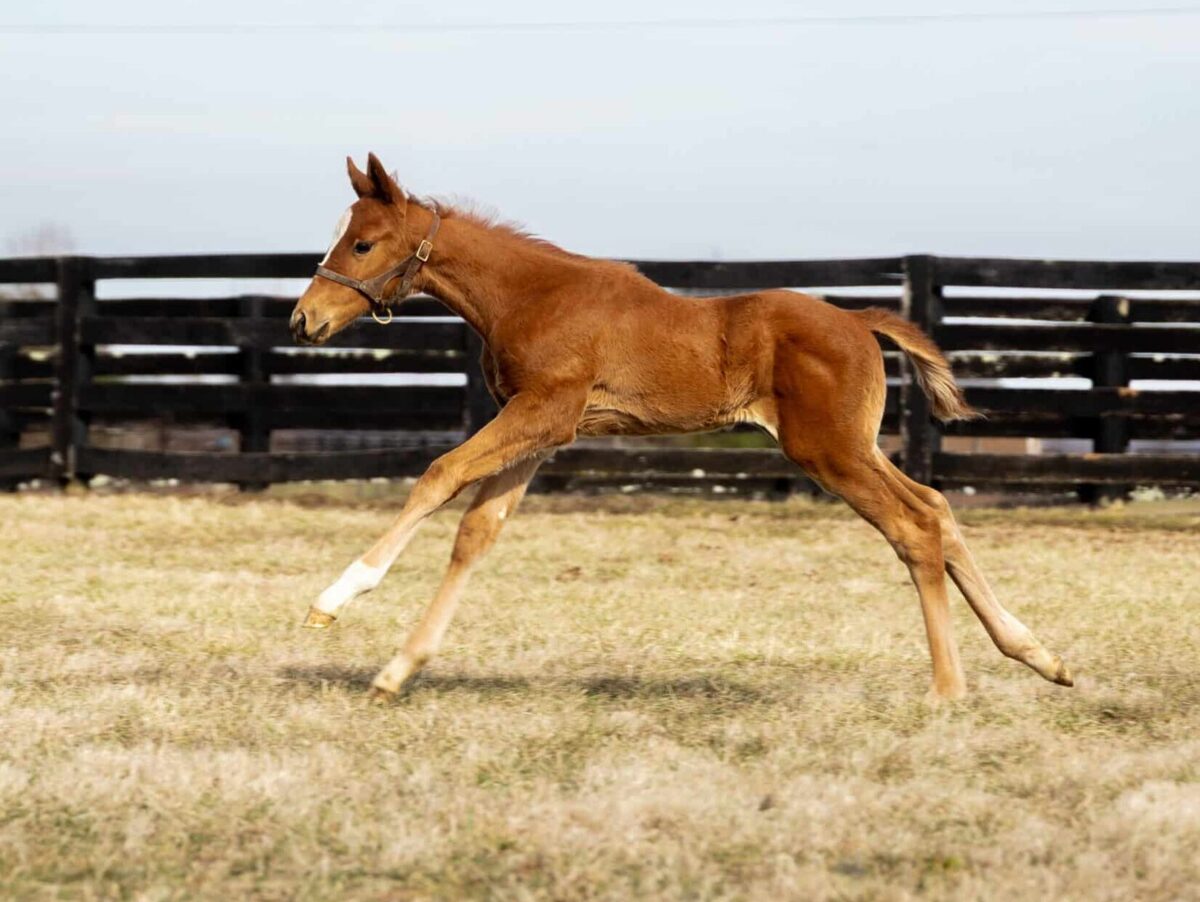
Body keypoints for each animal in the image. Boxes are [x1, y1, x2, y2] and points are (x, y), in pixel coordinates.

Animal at [285, 153, 1075, 705]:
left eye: (363, 245)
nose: (303, 320)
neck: (531, 294)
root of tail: (858, 320)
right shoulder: (544, 429)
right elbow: (477, 533)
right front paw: (396, 671)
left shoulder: (542, 410)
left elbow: (438, 474)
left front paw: (335, 599)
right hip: (854, 446)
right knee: (936, 509)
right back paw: (1038, 655)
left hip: (828, 450)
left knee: (913, 528)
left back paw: (949, 688)